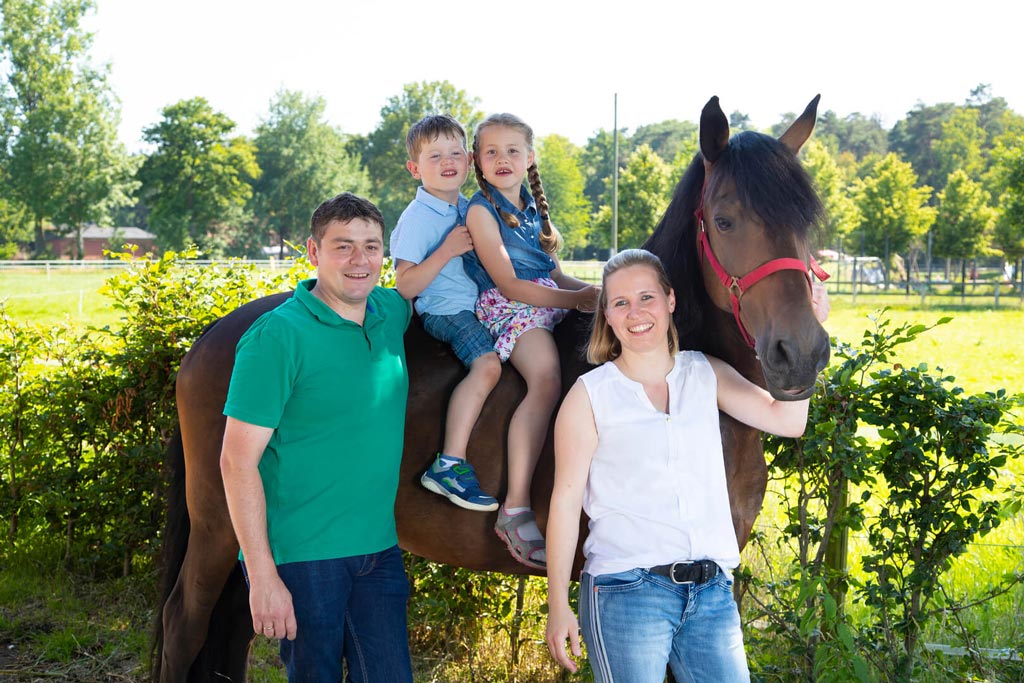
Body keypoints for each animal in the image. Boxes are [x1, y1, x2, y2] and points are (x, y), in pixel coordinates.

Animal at [151, 96, 827, 683]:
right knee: (183, 624)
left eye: (808, 223)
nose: (802, 354)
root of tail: (213, 335)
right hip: (219, 527)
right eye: (725, 219)